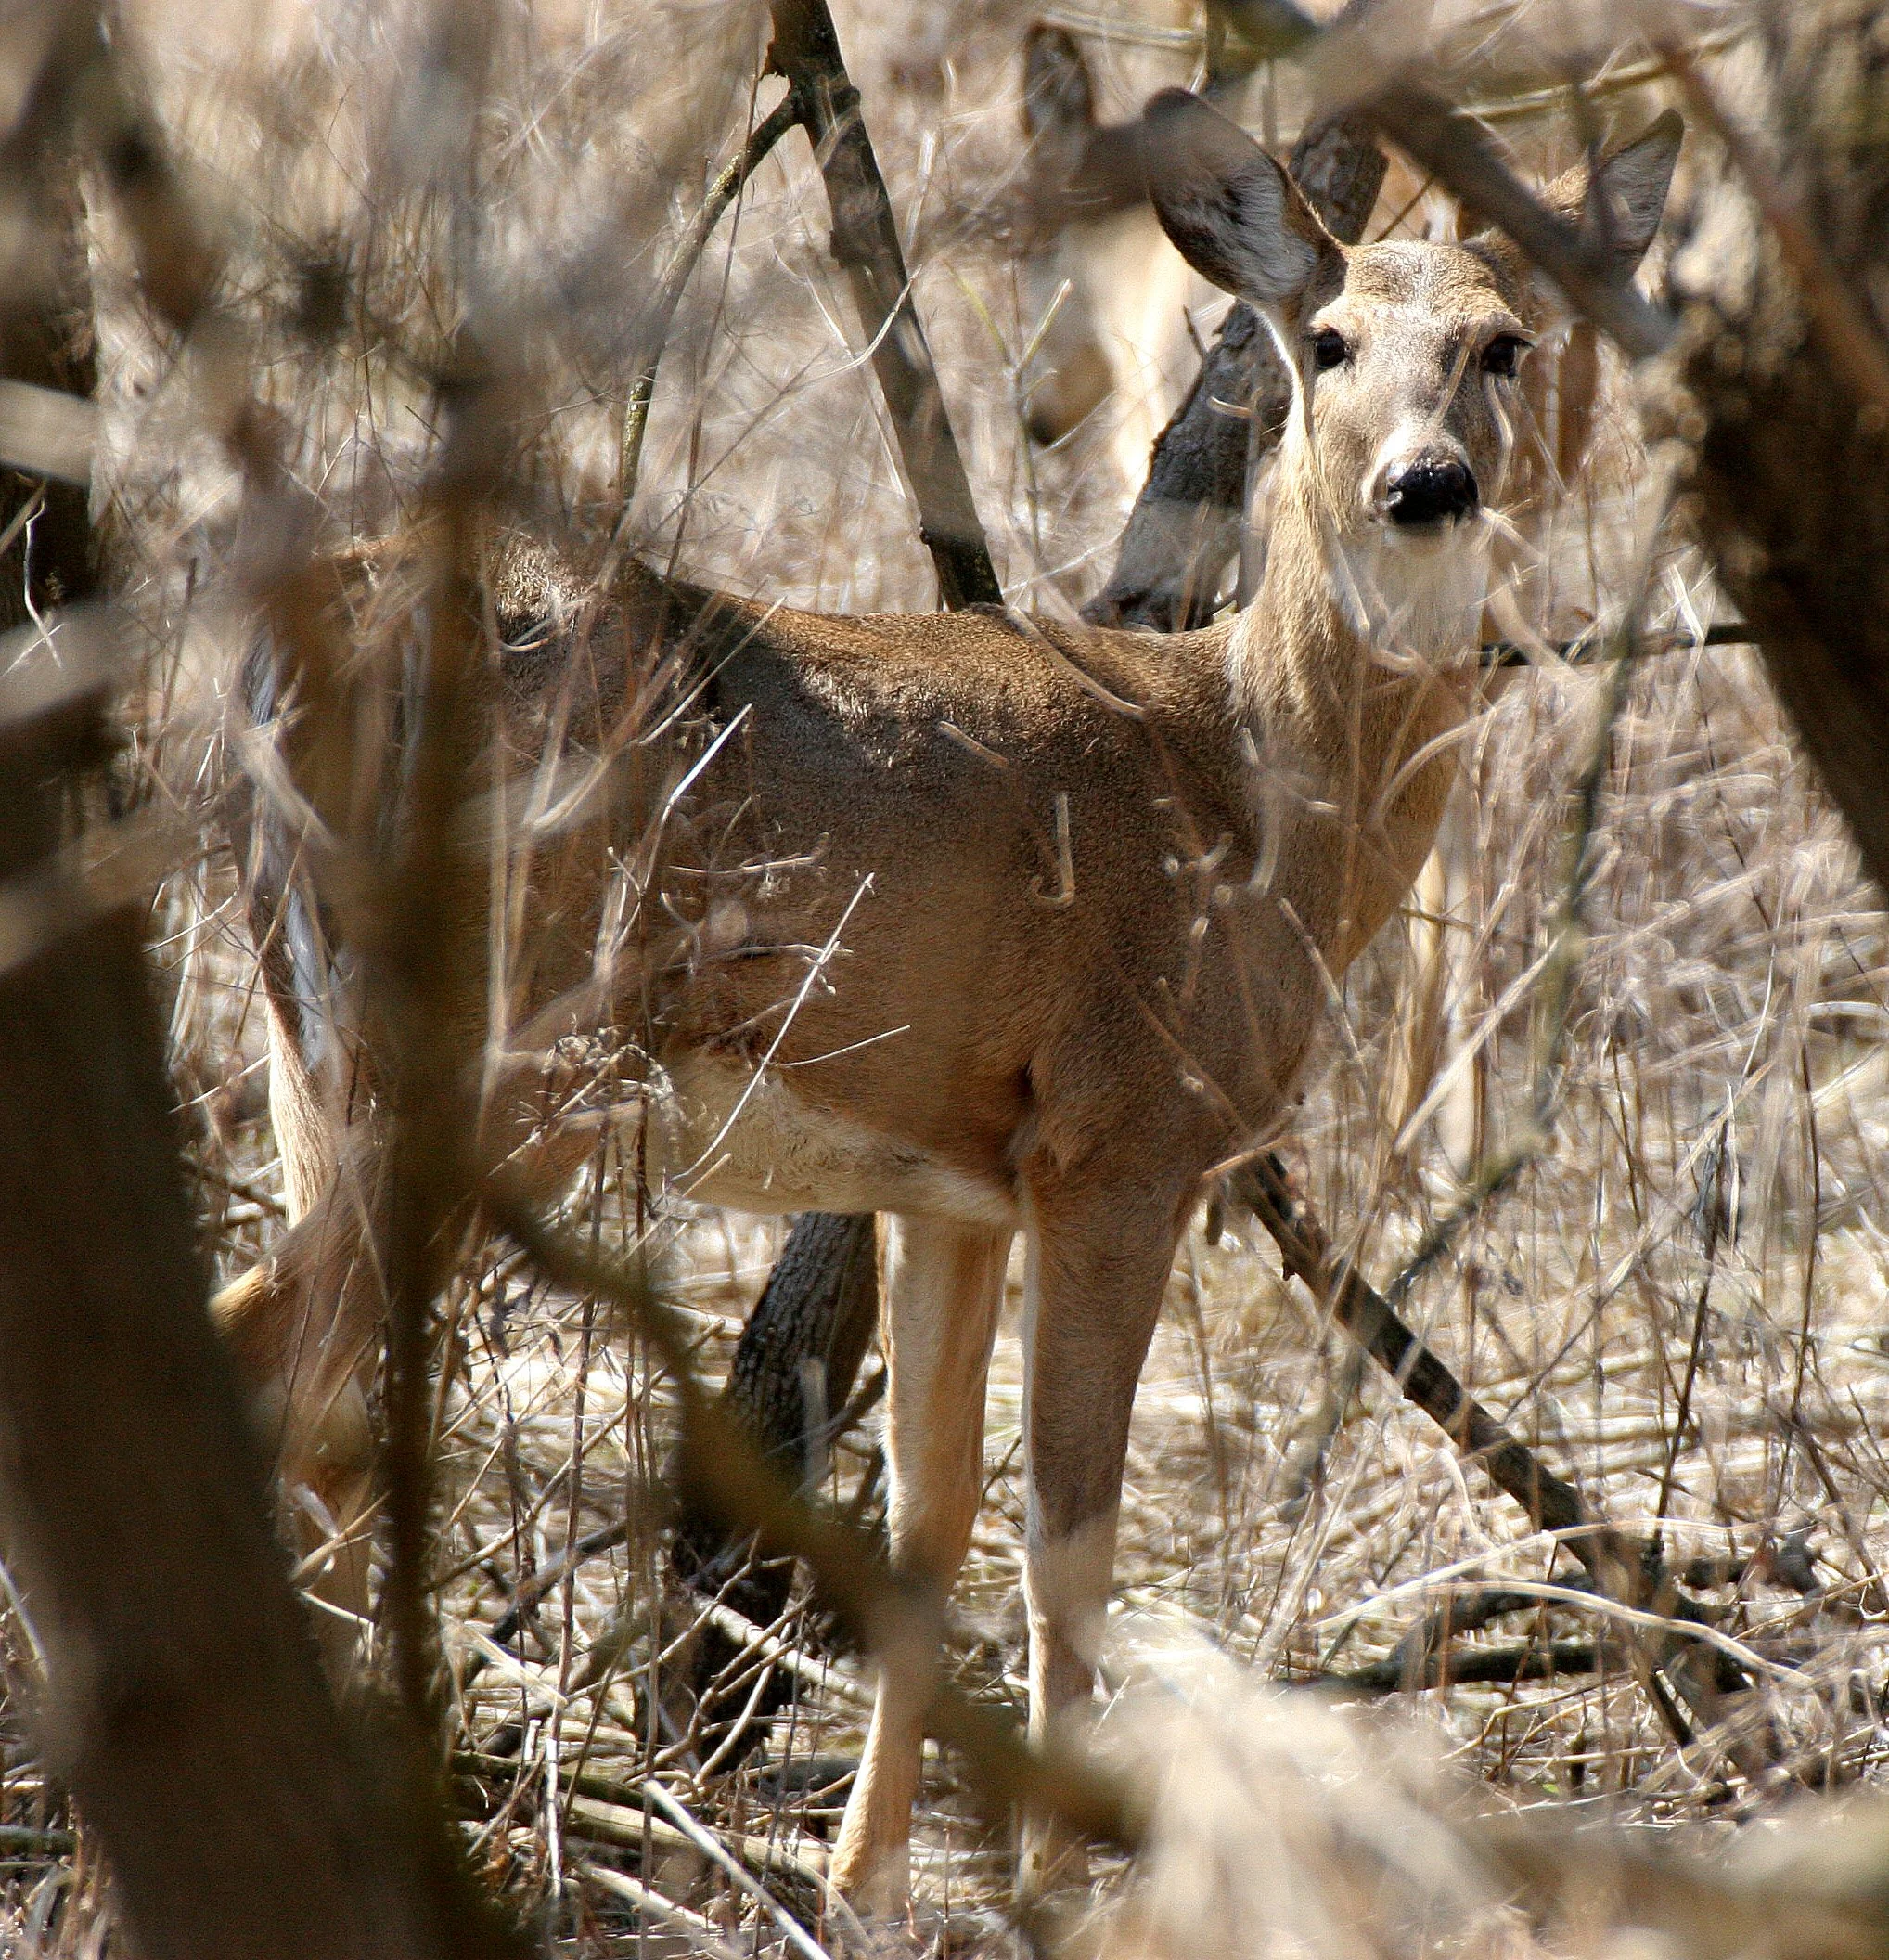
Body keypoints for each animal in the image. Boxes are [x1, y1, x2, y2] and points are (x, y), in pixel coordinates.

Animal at [214, 88, 1681, 1916]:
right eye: (1330, 339)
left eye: (1505, 341)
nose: (1428, 481)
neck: (1250, 796)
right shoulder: (1124, 1135)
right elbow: (1068, 1534)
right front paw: (1061, 1873)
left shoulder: (948, 1176)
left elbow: (927, 1520)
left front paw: (868, 1875)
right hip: (497, 1053)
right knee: (278, 1367)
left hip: (305, 1043)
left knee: (324, 1403)